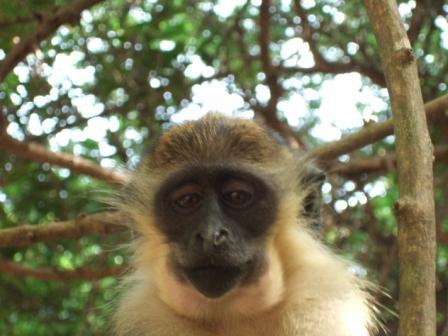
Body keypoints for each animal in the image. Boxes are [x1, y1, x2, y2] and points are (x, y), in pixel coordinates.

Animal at [111, 113, 374, 336]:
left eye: (237, 196)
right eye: (187, 200)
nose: (211, 235)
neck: (229, 315)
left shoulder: (323, 296)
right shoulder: (147, 313)